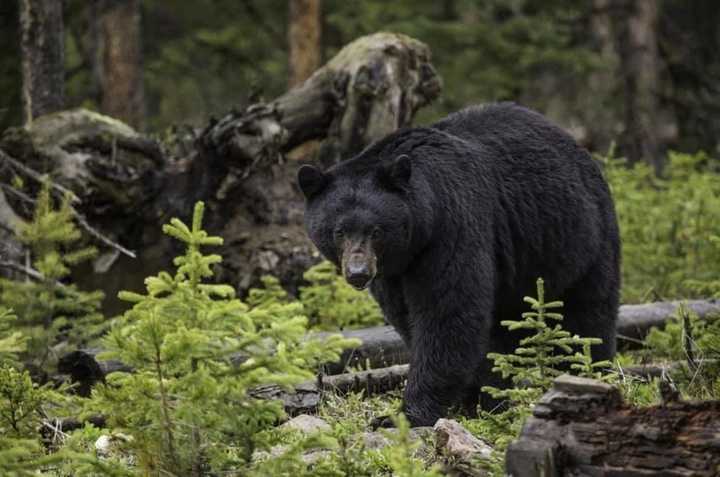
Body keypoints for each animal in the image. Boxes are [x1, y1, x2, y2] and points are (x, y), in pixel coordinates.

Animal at [296, 102, 620, 426]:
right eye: (339, 231)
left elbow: (448, 313)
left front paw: (405, 414)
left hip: (581, 237)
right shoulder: (394, 272)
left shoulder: (452, 227)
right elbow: (408, 317)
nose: (358, 273)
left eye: (376, 230)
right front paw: (473, 398)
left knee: (587, 315)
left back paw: (586, 373)